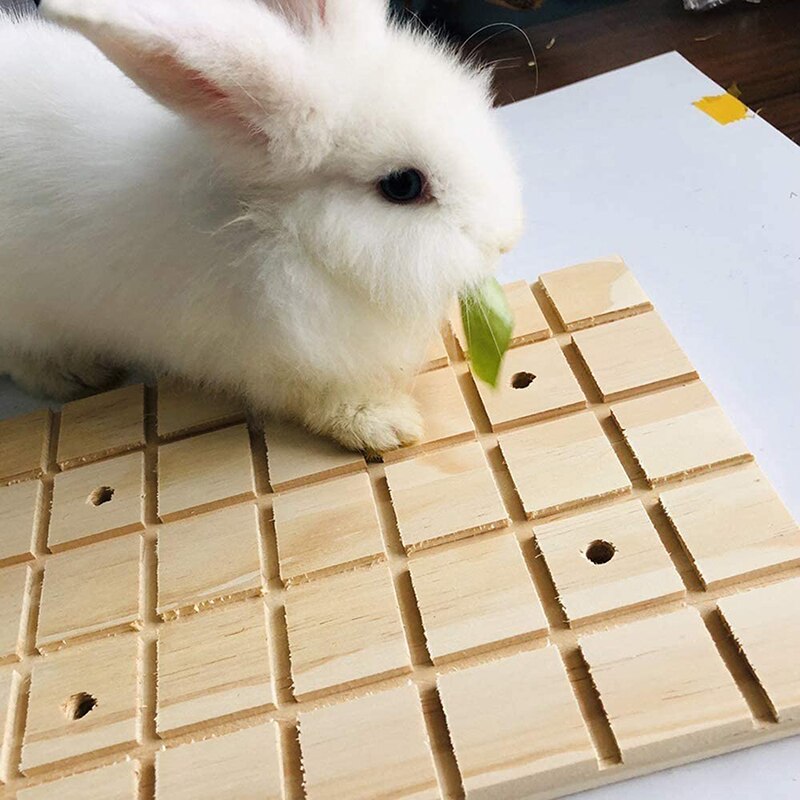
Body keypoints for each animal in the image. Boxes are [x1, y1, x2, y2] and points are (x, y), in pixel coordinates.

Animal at [0, 0, 520, 450]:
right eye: (403, 185)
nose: (507, 239)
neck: (279, 231)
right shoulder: (279, 361)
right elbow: (323, 402)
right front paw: (387, 426)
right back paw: (72, 376)